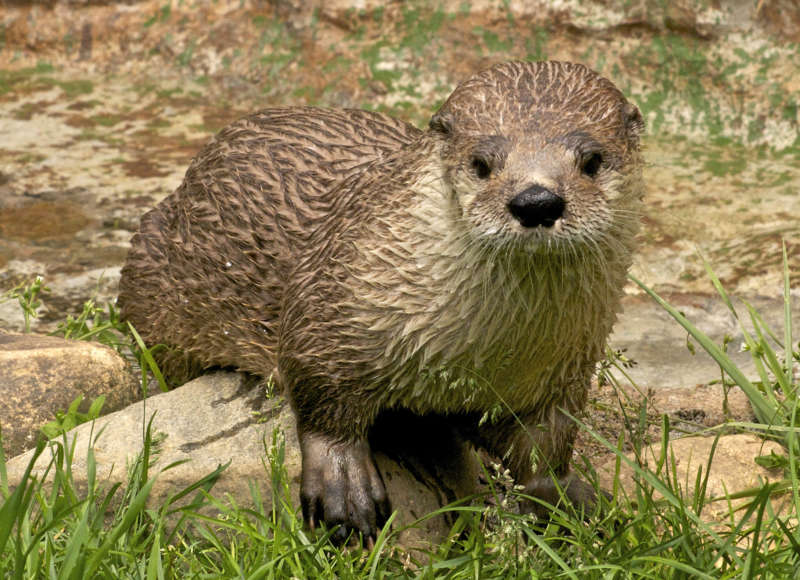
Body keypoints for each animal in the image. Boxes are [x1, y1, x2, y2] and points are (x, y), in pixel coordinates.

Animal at [117, 61, 644, 540]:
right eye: (482, 164)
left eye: (592, 160)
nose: (536, 201)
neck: (484, 353)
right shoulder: (331, 304)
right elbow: (319, 395)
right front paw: (344, 485)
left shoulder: (563, 367)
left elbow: (545, 444)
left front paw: (564, 497)